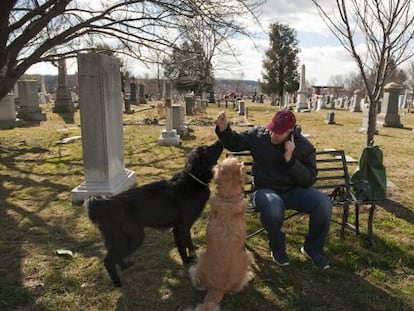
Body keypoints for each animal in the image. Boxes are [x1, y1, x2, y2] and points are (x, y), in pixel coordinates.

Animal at [83, 141, 223, 288]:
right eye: (207, 149)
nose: (220, 141)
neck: (193, 180)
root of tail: (108, 203)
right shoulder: (182, 227)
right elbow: (183, 247)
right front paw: (187, 261)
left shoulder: (182, 227)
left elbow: (188, 242)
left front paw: (193, 255)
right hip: (134, 238)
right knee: (108, 260)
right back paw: (117, 282)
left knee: (114, 256)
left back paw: (125, 265)